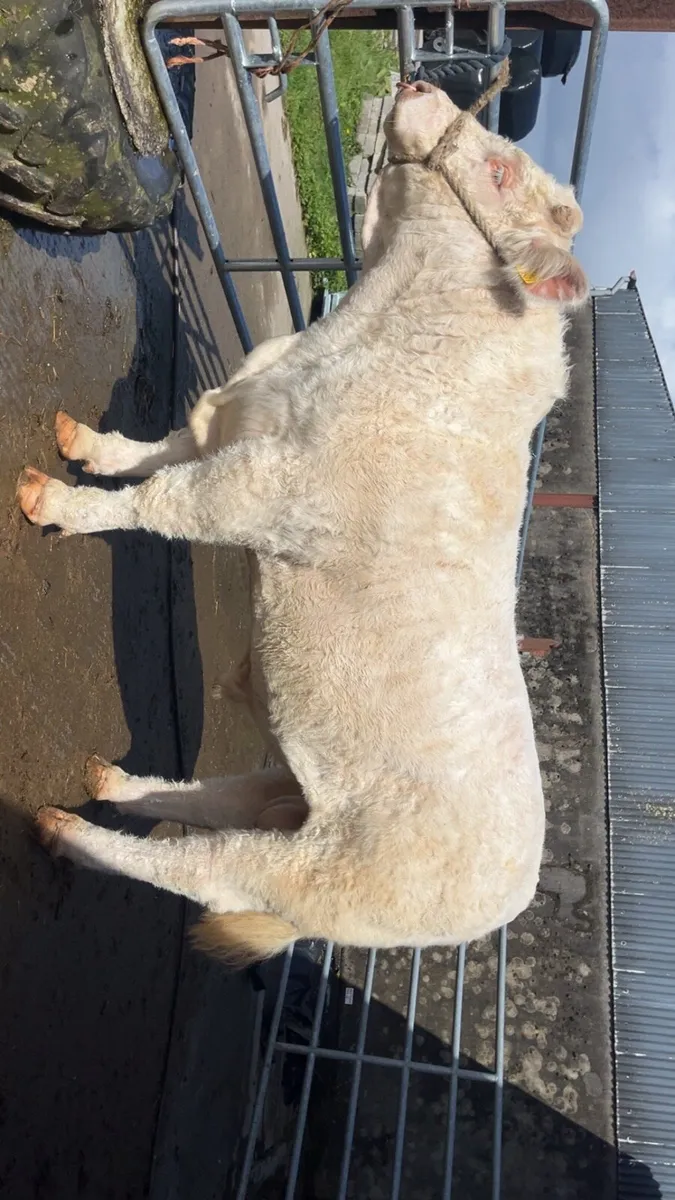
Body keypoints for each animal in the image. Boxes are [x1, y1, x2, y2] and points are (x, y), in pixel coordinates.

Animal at [17, 81, 587, 966]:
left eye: (497, 171)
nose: (421, 83)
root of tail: (507, 898)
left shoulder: (265, 490)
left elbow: (160, 502)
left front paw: (61, 504)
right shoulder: (235, 424)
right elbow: (153, 454)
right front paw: (89, 447)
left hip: (314, 872)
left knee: (201, 866)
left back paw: (70, 834)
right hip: (287, 783)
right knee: (208, 801)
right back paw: (111, 784)